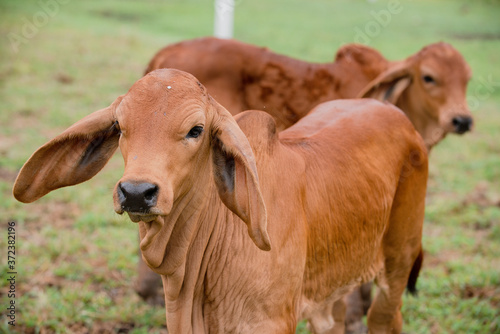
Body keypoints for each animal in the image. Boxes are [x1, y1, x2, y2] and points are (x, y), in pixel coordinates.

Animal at [14, 69, 430, 332]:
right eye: (119, 127)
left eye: (196, 130)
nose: (135, 192)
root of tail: (397, 115)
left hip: (398, 262)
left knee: (385, 318)